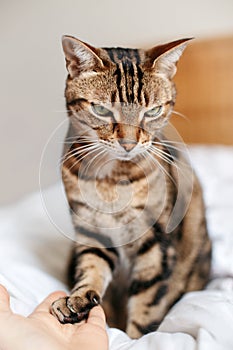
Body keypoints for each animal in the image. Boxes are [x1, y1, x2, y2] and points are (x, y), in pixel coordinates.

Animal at [50, 35, 211, 340]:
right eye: (101, 109)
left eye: (153, 111)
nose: (128, 143)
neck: (111, 181)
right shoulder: (92, 230)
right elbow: (92, 268)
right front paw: (78, 299)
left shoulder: (156, 245)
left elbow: (146, 308)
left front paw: (135, 339)